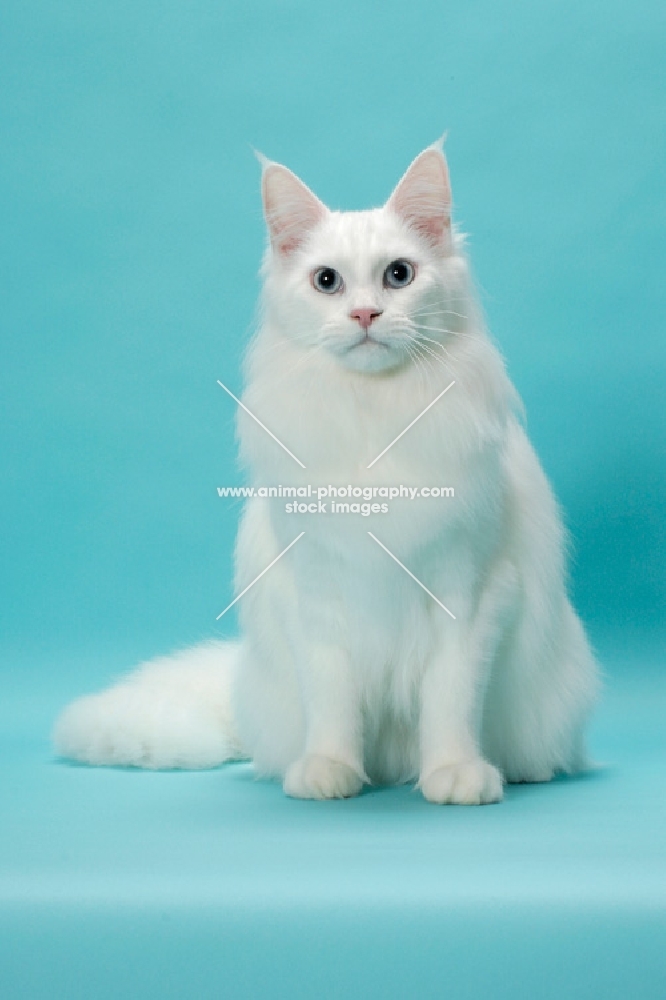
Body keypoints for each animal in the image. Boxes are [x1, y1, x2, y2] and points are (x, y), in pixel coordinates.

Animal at [53, 143, 596, 804]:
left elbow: (451, 699)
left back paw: (517, 770)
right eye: (327, 281)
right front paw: (328, 770)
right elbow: (332, 700)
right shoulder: (313, 593)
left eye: (398, 275)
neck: (372, 416)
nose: (365, 313)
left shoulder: (467, 593)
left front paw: (455, 773)